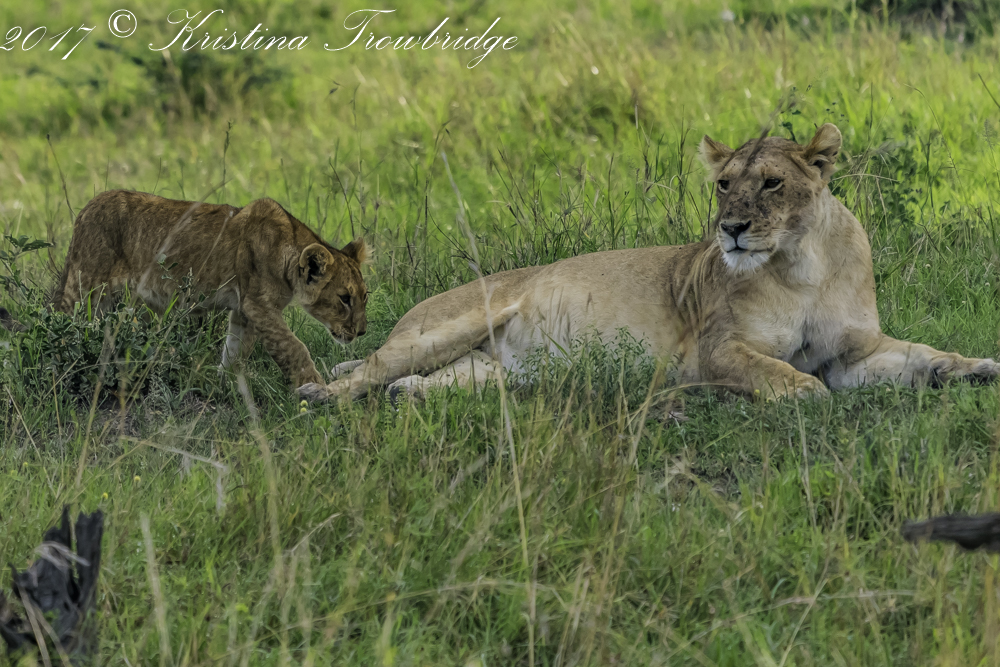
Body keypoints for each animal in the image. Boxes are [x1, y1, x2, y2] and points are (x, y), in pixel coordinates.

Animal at [51, 190, 368, 389]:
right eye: (344, 299)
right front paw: (315, 386)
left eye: (364, 297)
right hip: (85, 288)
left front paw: (225, 382)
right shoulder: (259, 304)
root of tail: (85, 210)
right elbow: (293, 348)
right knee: (59, 321)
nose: (363, 332)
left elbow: (235, 350)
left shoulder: (244, 310)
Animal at [297, 123, 998, 404]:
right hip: (446, 324)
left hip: (493, 372)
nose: (730, 229)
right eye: (724, 185)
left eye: (772, 184)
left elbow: (919, 354)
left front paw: (974, 368)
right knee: (366, 369)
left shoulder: (854, 351)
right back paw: (319, 393)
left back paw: (408, 395)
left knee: (435, 379)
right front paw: (803, 394)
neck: (801, 263)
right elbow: (788, 376)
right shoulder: (718, 351)